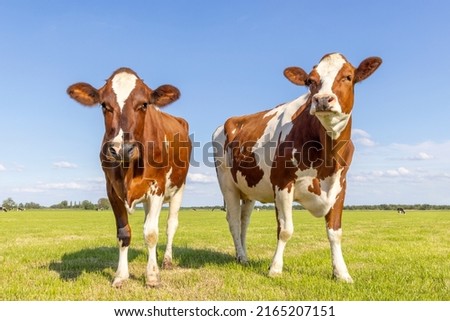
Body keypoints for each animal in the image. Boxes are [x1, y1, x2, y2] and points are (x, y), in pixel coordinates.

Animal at [67, 68, 192, 288]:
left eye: (143, 104)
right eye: (104, 105)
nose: (121, 149)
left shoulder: (157, 187)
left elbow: (151, 233)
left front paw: (152, 276)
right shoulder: (111, 190)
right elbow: (124, 233)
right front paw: (120, 275)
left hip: (179, 187)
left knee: (170, 225)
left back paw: (166, 261)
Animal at [213, 53, 382, 282]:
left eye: (348, 76)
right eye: (310, 81)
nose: (322, 99)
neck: (327, 157)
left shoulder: (339, 185)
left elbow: (335, 232)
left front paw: (341, 273)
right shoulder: (283, 183)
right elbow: (285, 230)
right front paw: (275, 269)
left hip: (248, 189)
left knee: (244, 221)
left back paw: (243, 256)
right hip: (227, 183)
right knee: (233, 220)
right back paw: (242, 256)